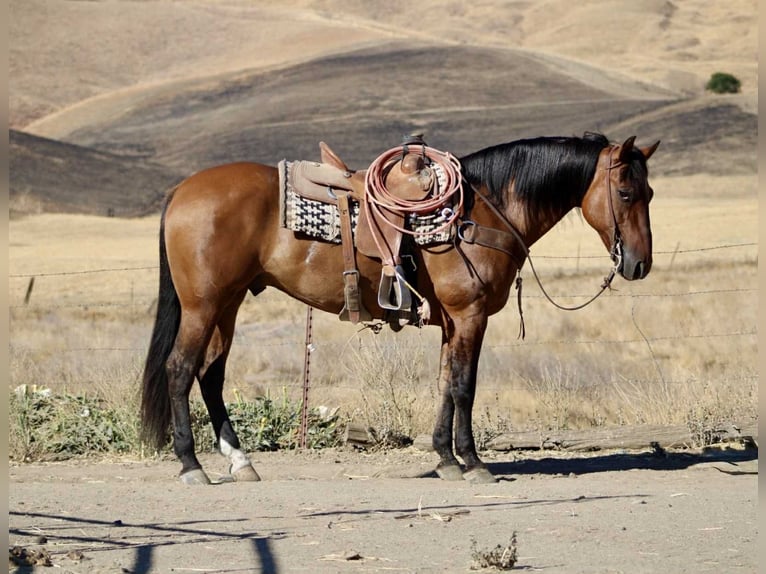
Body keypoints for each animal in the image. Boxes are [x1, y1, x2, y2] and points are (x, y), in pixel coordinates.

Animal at [140, 132, 660, 484]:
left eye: (650, 193)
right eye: (626, 193)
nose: (639, 264)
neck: (482, 212)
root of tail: (182, 191)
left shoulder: (452, 322)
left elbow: (446, 384)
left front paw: (446, 459)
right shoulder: (470, 316)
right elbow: (465, 386)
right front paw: (474, 463)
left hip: (227, 304)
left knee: (210, 373)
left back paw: (240, 461)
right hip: (203, 305)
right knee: (181, 368)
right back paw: (191, 465)